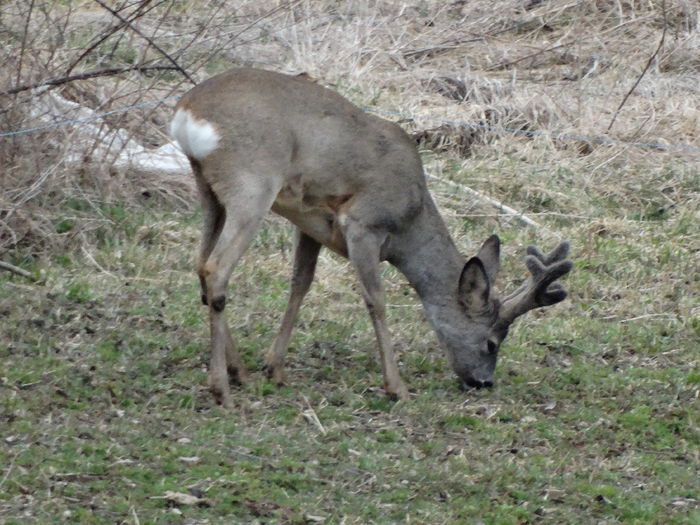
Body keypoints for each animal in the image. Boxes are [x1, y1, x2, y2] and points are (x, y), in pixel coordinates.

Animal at [171, 67, 576, 408]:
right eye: (491, 342)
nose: (483, 382)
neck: (410, 219)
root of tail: (187, 111)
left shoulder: (311, 224)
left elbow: (301, 283)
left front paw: (275, 368)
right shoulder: (363, 224)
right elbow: (376, 300)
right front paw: (396, 387)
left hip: (209, 189)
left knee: (202, 266)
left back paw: (238, 372)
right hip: (253, 182)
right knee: (217, 269)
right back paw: (222, 389)